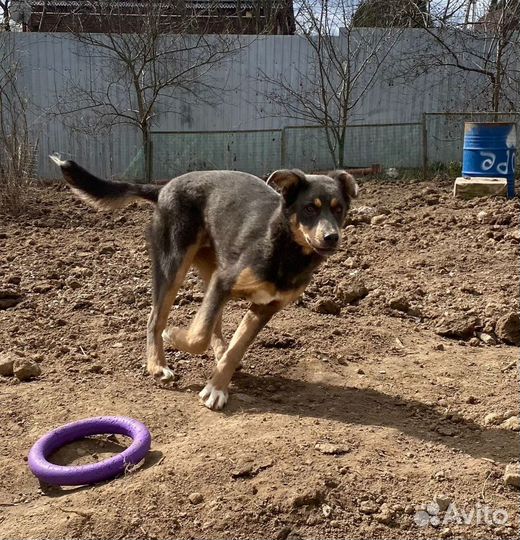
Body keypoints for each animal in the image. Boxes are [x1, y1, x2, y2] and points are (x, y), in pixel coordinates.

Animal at [49, 156, 358, 410]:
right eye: (309, 209)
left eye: (339, 209)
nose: (332, 237)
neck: (286, 250)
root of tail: (163, 189)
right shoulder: (225, 281)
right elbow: (197, 337)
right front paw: (176, 337)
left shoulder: (264, 307)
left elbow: (235, 346)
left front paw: (217, 386)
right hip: (174, 264)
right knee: (156, 318)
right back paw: (157, 365)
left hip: (212, 268)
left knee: (214, 324)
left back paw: (217, 353)